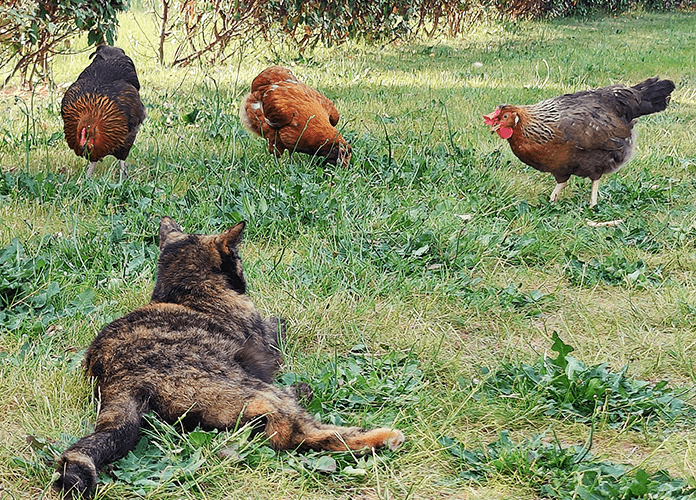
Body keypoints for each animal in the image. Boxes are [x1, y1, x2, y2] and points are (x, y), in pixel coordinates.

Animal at [55, 217, 408, 498]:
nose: (243, 274)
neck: (185, 291)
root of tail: (118, 378)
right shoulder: (264, 340)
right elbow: (276, 327)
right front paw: (282, 321)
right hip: (252, 389)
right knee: (292, 433)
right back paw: (381, 437)